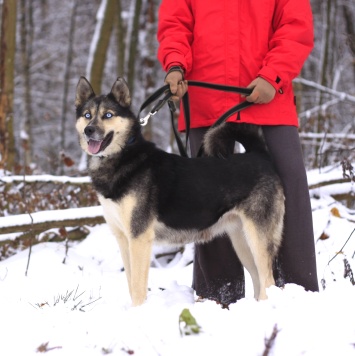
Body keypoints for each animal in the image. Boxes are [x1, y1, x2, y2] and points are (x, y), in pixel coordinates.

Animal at [76, 77, 286, 306]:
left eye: (108, 115)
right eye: (87, 115)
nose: (89, 130)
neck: (124, 157)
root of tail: (259, 155)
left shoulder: (139, 238)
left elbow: (138, 288)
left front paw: (138, 311)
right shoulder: (124, 238)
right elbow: (131, 285)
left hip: (258, 238)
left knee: (268, 280)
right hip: (242, 240)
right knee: (258, 280)